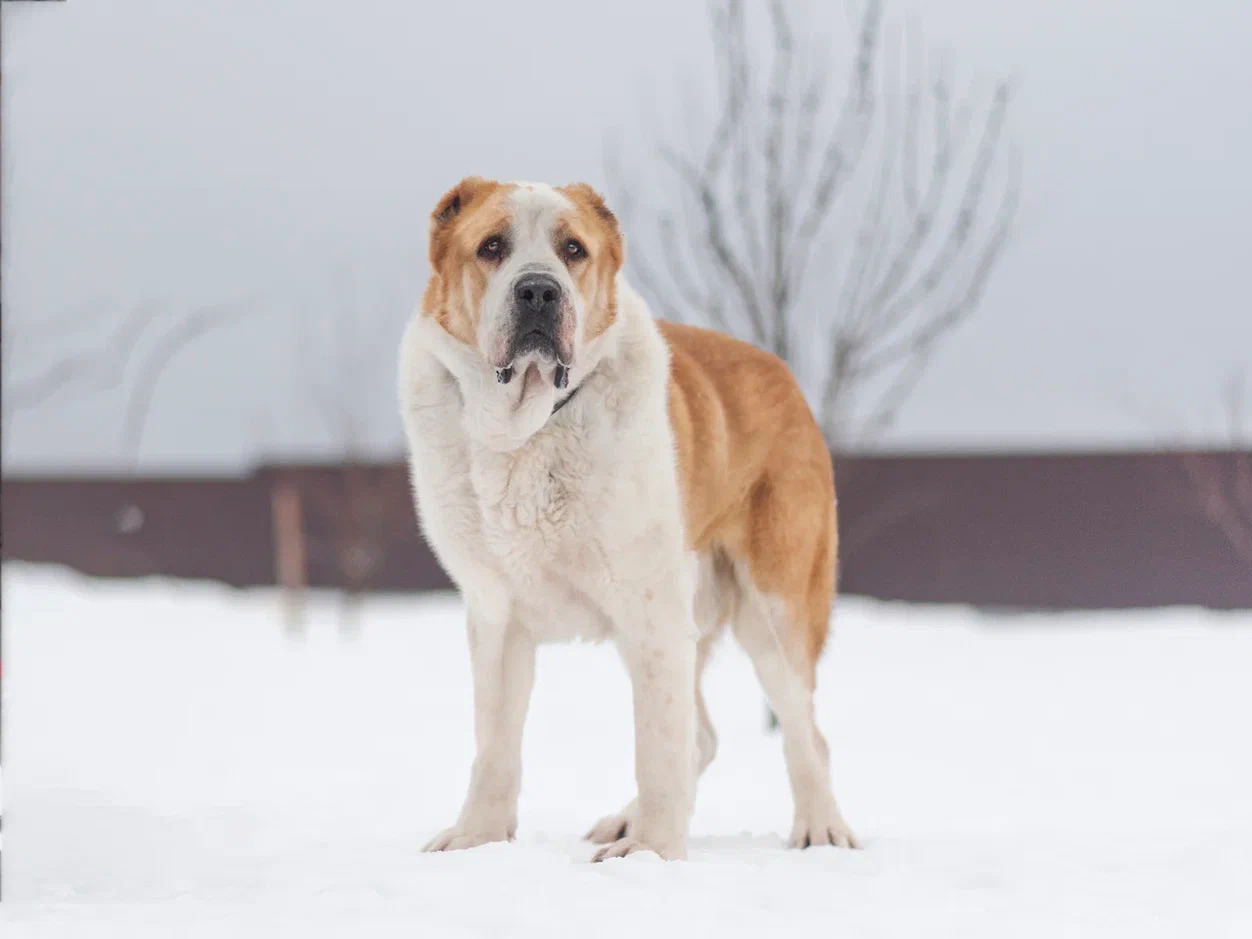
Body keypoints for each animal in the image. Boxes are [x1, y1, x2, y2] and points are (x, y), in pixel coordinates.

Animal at [395, 177, 856, 866]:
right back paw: (624, 819)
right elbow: (495, 745)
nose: (539, 290)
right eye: (492, 246)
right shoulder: (497, 616)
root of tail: (783, 372)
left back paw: (820, 828)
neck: (532, 426)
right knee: (705, 735)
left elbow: (658, 746)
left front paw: (653, 855)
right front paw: (477, 839)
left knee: (801, 728)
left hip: (773, 608)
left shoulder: (653, 612)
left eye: (573, 250)